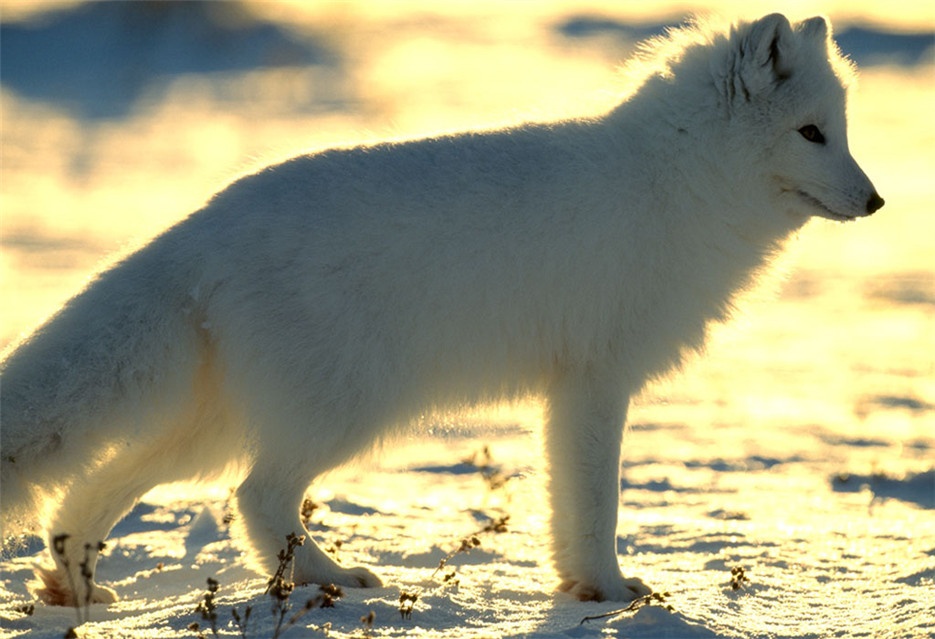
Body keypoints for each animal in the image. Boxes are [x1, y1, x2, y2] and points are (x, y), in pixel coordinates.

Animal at [0, 13, 884, 604]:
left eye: (841, 132)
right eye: (811, 133)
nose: (876, 201)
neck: (675, 181)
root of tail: (208, 221)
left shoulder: (569, 391)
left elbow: (568, 502)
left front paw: (581, 586)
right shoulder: (596, 380)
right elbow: (596, 504)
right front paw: (609, 590)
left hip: (213, 425)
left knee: (100, 487)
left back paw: (77, 585)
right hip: (342, 410)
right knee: (254, 496)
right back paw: (330, 578)